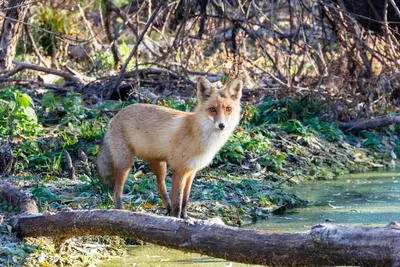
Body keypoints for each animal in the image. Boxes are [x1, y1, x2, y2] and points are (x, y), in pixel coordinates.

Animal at [96, 76, 244, 219]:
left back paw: (167, 210)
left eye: (228, 109)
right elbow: (178, 202)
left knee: (161, 189)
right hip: (125, 164)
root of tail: (115, 116)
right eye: (212, 109)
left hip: (160, 166)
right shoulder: (180, 170)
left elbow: (185, 200)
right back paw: (120, 211)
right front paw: (176, 220)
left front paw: (184, 217)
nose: (221, 125)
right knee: (117, 191)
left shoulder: (191, 171)